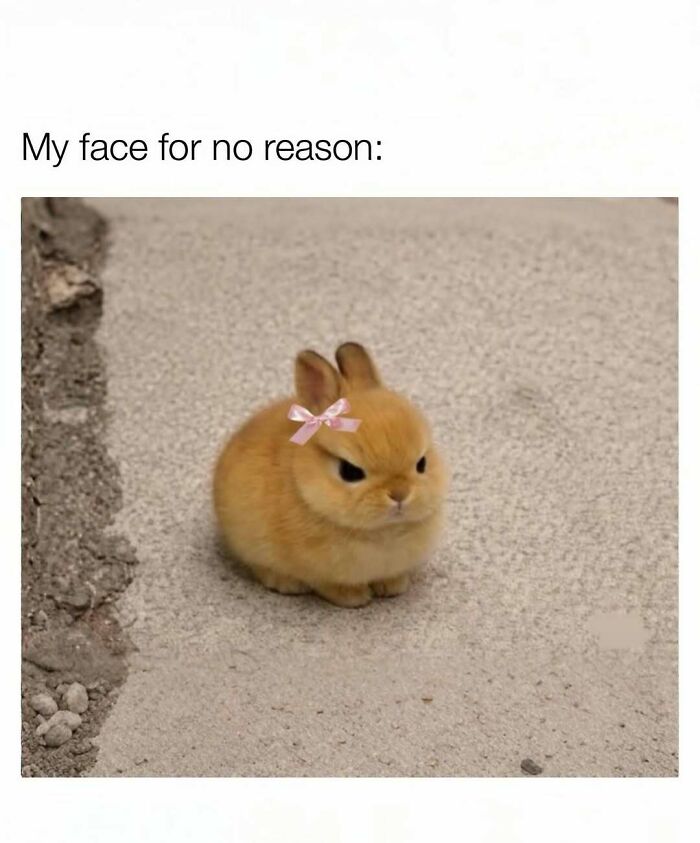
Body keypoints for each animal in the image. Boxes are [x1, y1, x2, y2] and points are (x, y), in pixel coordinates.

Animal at [213, 342, 448, 607]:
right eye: (350, 471)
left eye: (422, 463)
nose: (399, 494)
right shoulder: (319, 573)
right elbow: (329, 585)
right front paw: (354, 598)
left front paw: (392, 587)